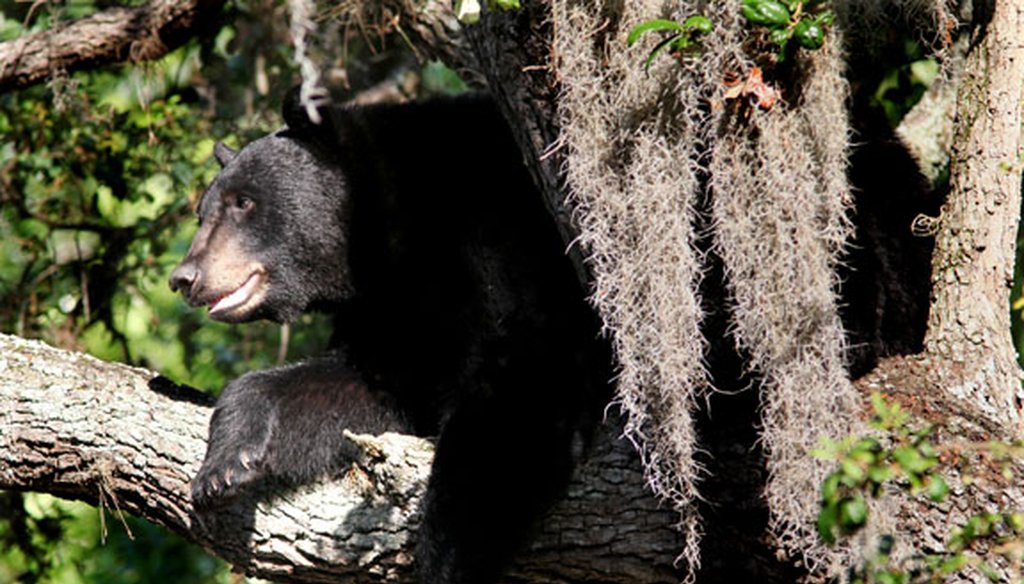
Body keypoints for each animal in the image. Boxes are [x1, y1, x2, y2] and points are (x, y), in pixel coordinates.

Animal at [167, 92, 606, 581]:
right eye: (202, 212)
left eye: (243, 202)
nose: (185, 277)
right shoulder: (387, 310)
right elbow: (362, 390)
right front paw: (227, 464)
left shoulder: (503, 241)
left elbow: (523, 386)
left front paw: (444, 559)